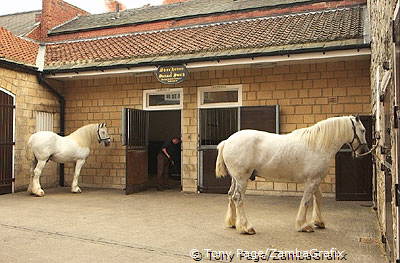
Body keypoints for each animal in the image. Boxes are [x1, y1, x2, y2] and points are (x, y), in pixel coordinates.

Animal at [217, 116, 370, 235]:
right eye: (363, 130)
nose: (364, 151)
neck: (318, 144)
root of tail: (227, 141)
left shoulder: (316, 180)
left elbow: (318, 198)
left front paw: (319, 222)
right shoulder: (312, 181)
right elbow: (306, 201)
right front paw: (304, 225)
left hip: (235, 179)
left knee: (231, 195)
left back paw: (233, 223)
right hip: (242, 179)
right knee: (238, 198)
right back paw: (246, 227)